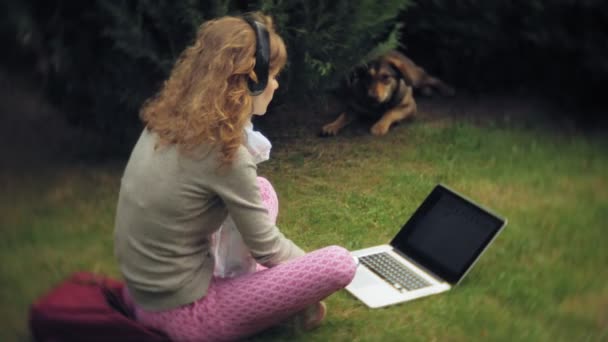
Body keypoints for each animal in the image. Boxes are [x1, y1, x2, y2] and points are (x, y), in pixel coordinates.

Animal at [320, 50, 454, 136]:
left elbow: (391, 111)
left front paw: (379, 126)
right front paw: (331, 125)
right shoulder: (355, 106)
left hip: (415, 76)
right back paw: (428, 91)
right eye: (368, 77)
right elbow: (343, 115)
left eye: (386, 77)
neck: (379, 106)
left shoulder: (409, 106)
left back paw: (447, 89)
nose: (372, 97)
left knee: (431, 78)